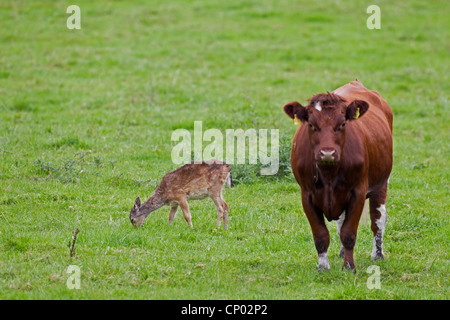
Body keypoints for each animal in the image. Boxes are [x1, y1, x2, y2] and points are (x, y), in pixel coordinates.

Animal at [284, 80, 392, 272]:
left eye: (342, 124)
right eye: (310, 125)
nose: (327, 152)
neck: (329, 174)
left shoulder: (357, 193)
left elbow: (349, 233)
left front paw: (349, 266)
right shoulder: (307, 195)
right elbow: (321, 235)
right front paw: (323, 267)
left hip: (381, 183)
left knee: (378, 219)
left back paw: (377, 254)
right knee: (341, 222)